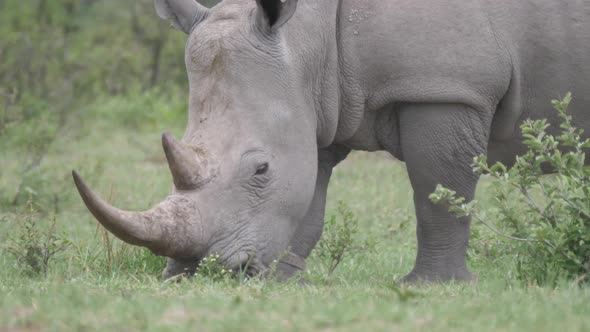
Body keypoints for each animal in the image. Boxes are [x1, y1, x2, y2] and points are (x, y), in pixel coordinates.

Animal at [73, 0, 590, 282]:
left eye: (260, 169)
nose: (198, 270)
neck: (310, 34)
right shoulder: (316, 101)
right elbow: (310, 200)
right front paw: (284, 281)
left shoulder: (446, 87)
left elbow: (440, 194)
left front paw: (433, 286)